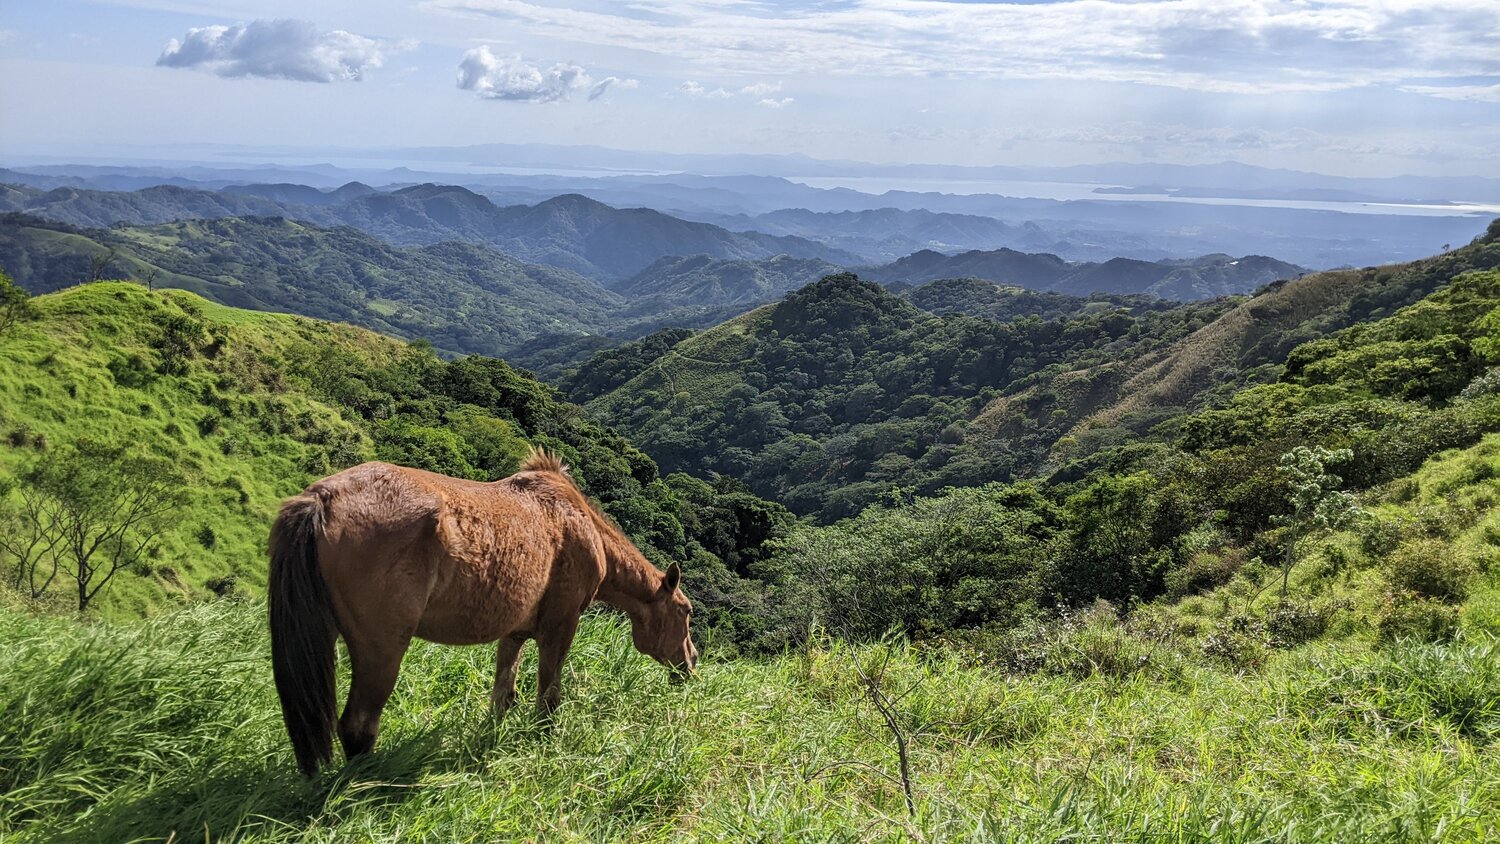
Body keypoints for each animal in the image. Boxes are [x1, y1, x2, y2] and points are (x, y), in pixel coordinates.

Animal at [267, 449, 697, 777]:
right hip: (382, 647)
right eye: (686, 612)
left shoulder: (516, 631)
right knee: (358, 727)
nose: (692, 663)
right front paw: (545, 739)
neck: (580, 527)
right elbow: (549, 694)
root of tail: (322, 498)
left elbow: (503, 694)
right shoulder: (561, 625)